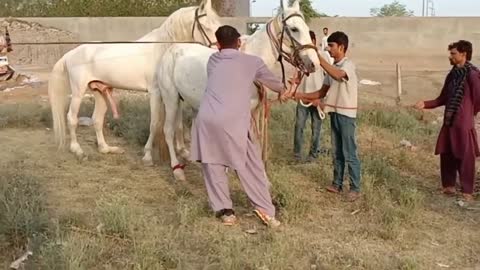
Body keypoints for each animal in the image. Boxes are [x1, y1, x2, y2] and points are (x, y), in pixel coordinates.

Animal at [48, 0, 221, 162]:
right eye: (206, 26)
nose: (218, 49)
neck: (161, 50)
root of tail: (70, 54)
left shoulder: (173, 94)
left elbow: (178, 123)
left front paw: (183, 151)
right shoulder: (156, 93)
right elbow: (154, 124)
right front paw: (148, 155)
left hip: (100, 92)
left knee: (97, 119)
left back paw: (106, 149)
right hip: (78, 92)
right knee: (71, 118)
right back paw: (77, 150)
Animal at [158, 0, 322, 181]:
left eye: (306, 28)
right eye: (294, 29)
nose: (314, 63)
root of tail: (172, 50)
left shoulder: (255, 111)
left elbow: (255, 141)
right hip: (170, 98)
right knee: (168, 130)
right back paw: (177, 170)